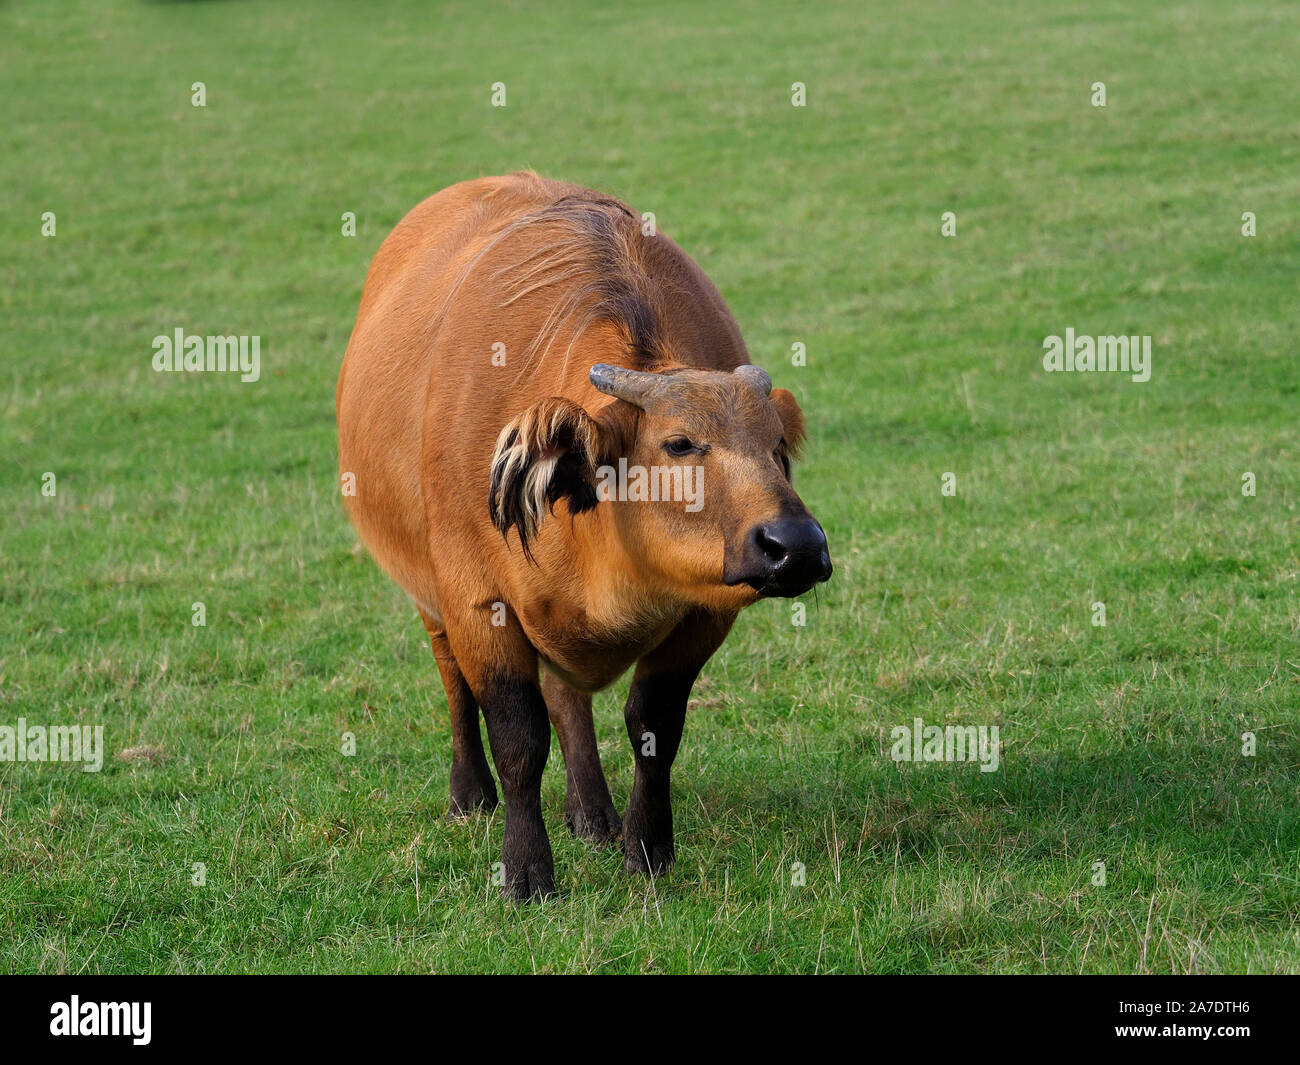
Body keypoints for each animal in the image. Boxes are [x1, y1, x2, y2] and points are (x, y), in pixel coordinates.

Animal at [330, 172, 826, 899]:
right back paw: (469, 794)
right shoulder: (479, 602)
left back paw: (590, 814)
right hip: (428, 595)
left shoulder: (703, 618)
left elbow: (654, 727)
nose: (797, 545)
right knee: (453, 680)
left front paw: (646, 849)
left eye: (777, 449)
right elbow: (518, 737)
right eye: (680, 443)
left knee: (568, 698)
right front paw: (527, 871)